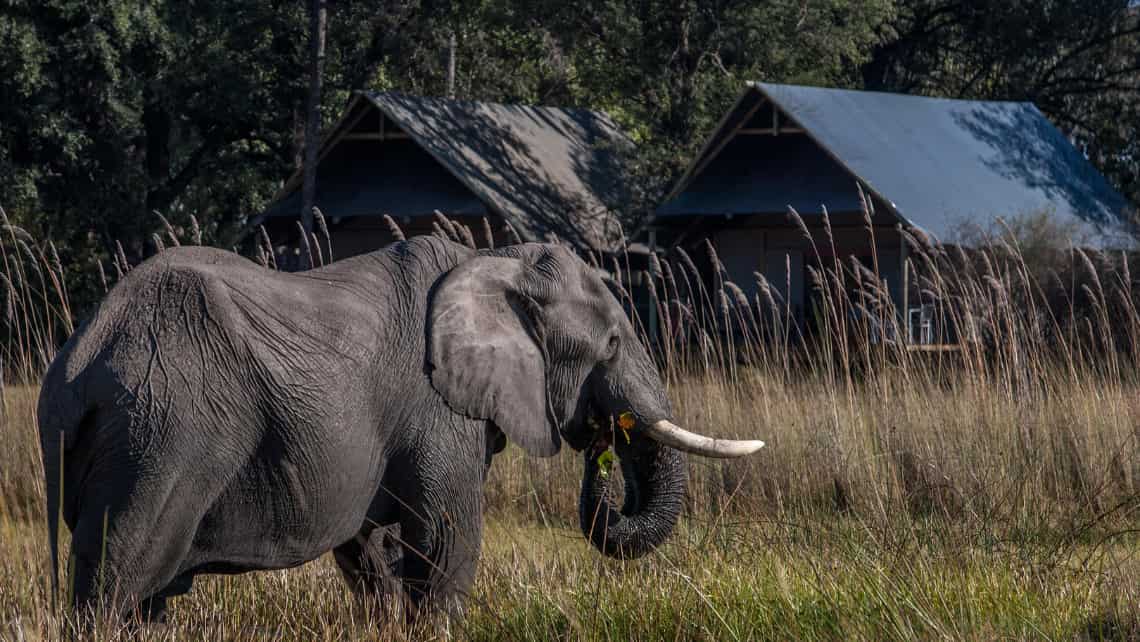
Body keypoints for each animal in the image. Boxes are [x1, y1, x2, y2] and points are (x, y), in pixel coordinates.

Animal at [37, 233, 766, 620]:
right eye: (611, 344)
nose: (601, 448)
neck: (494, 260)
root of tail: (74, 370)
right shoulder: (437, 409)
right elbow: (445, 539)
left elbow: (375, 553)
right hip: (161, 438)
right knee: (117, 583)